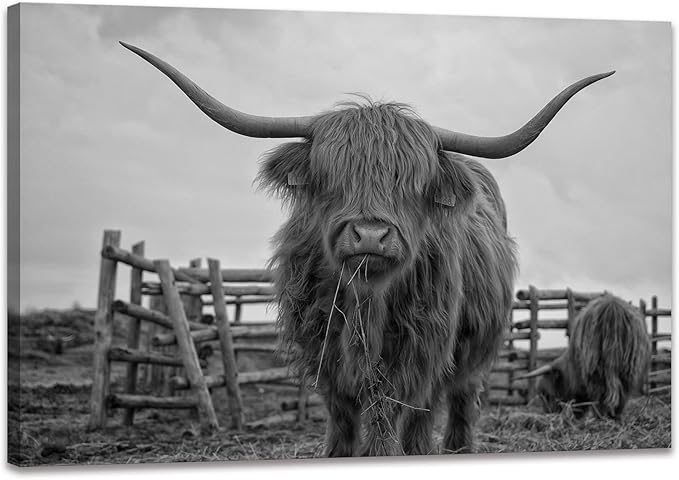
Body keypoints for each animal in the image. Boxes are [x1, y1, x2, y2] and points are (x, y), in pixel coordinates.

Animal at [120, 42, 613, 456]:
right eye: (332, 176)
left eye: (412, 182)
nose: (371, 236)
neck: (365, 301)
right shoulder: (322, 350)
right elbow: (342, 415)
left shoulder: (418, 350)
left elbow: (389, 414)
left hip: (471, 349)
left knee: (452, 401)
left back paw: (450, 449)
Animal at [520, 294, 651, 419]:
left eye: (546, 395)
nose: (548, 413)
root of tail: (612, 307)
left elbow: (580, 404)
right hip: (629, 365)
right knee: (623, 390)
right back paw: (615, 416)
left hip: (595, 364)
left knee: (601, 390)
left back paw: (600, 416)